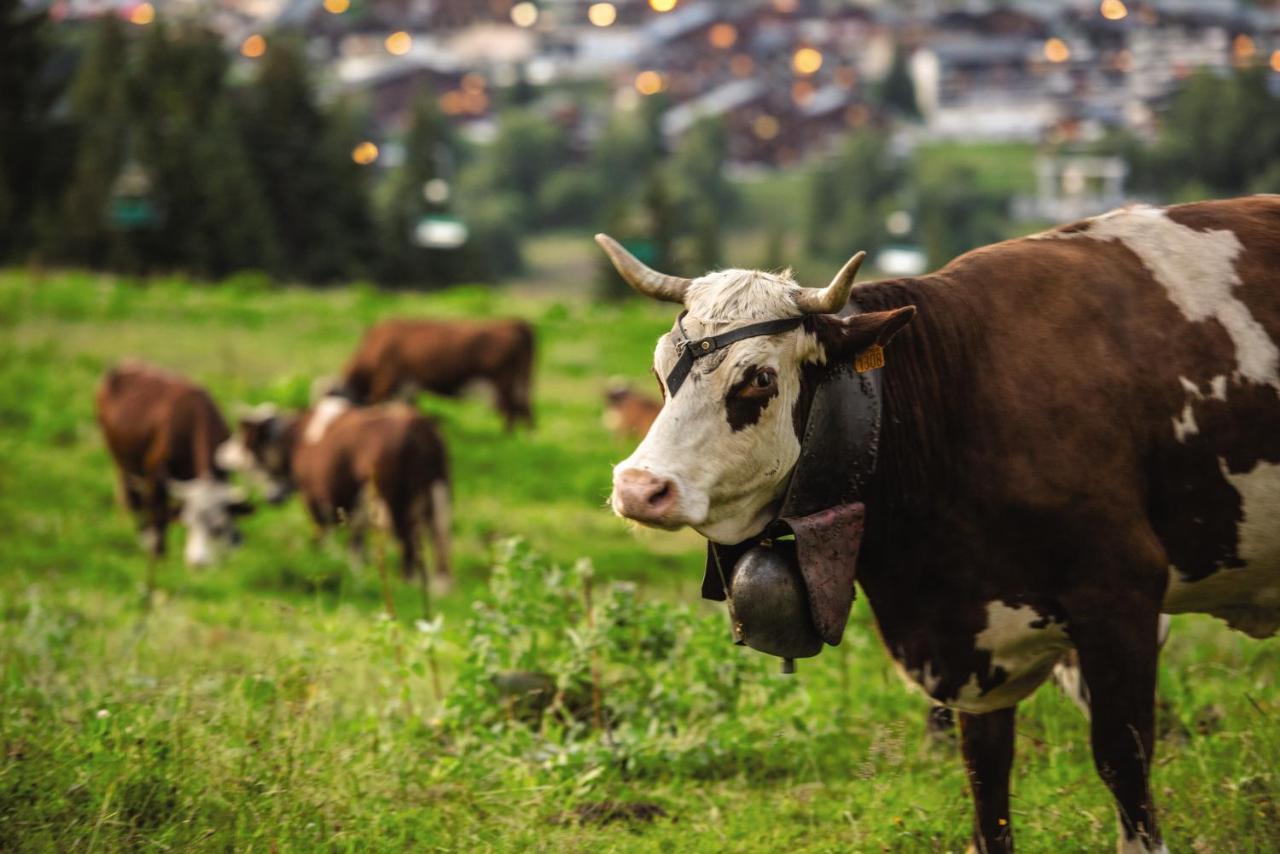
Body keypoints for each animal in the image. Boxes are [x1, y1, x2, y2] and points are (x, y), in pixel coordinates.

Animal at [94, 361, 252, 568]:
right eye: (188, 522)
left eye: (217, 528)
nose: (197, 563)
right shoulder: (155, 475)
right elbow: (159, 518)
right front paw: (158, 556)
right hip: (121, 461)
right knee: (134, 500)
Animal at [222, 396, 453, 583]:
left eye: (242, 436)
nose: (223, 453)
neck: (296, 439)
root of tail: (417, 423)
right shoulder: (354, 507)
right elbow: (355, 545)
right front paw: (358, 574)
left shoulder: (315, 499)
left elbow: (324, 535)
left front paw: (322, 563)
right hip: (436, 494)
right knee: (437, 544)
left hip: (394, 501)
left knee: (408, 544)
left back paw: (407, 586)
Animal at [335, 317, 535, 430]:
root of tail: (512, 325)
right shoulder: (409, 387)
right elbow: (409, 407)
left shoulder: (387, 380)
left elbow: (376, 403)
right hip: (517, 383)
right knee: (520, 409)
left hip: (503, 383)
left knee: (511, 410)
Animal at [593, 195, 1280, 854]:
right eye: (661, 369)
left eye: (758, 378)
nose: (639, 487)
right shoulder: (975, 643)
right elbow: (986, 782)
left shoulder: (1121, 599)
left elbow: (1123, 760)